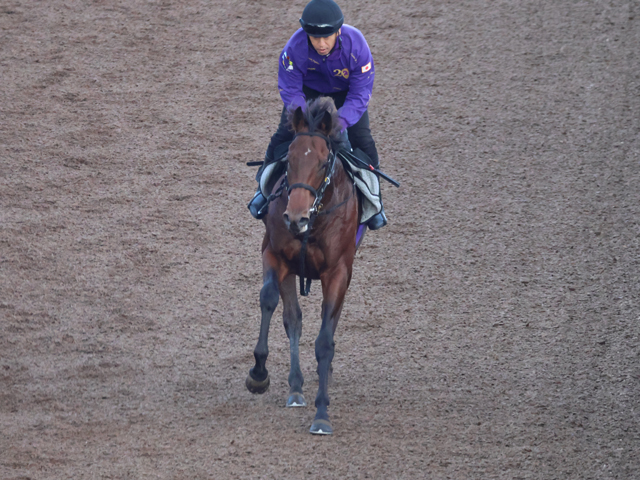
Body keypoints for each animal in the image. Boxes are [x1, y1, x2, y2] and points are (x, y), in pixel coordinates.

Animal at [245, 97, 365, 435]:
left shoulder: (338, 272)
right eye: (289, 159)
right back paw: (296, 387)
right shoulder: (275, 255)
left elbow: (324, 340)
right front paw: (258, 373)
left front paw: (322, 413)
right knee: (293, 319)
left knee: (328, 322)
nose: (295, 217)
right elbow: (270, 301)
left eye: (324, 163)